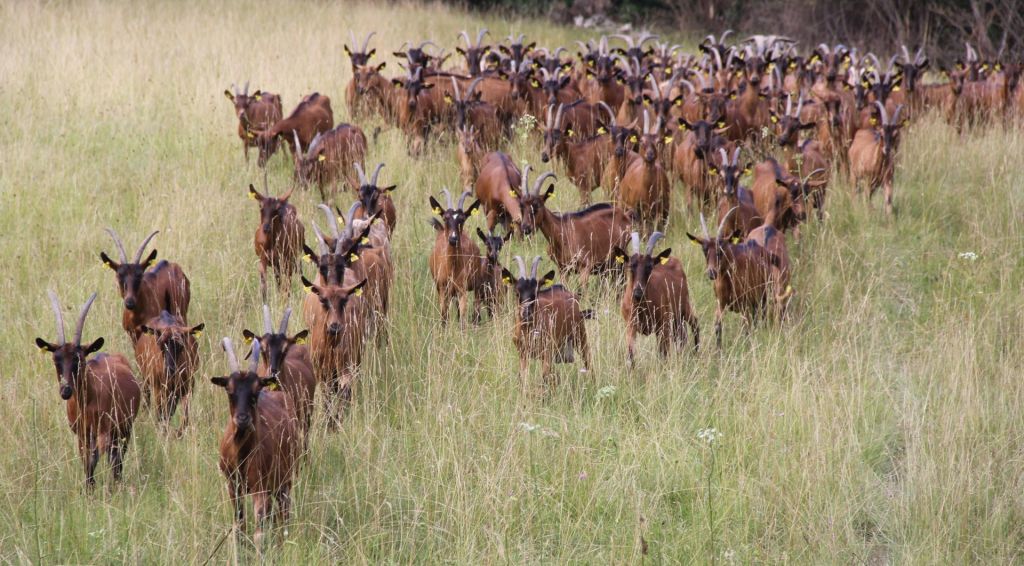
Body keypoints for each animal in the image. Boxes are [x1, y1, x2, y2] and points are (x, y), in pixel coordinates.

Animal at [36, 288, 141, 487]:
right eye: (56, 360)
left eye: (79, 359)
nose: (66, 391)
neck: (88, 401)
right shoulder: (82, 435)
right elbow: (88, 465)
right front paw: (89, 489)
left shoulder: (104, 432)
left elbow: (98, 461)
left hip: (123, 430)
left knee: (117, 461)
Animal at [211, 337, 299, 544]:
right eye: (229, 389)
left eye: (257, 389)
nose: (243, 419)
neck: (241, 453)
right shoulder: (233, 485)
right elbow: (239, 525)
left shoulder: (260, 487)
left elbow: (259, 532)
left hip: (284, 478)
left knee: (284, 511)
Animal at [501, 256, 593, 386]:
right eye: (517, 293)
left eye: (536, 293)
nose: (526, 313)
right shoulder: (523, 353)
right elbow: (523, 378)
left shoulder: (546, 352)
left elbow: (544, 377)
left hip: (580, 335)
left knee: (588, 359)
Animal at [610, 230, 700, 360]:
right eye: (631, 265)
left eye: (649, 266)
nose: (638, 293)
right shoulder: (631, 327)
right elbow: (630, 355)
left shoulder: (663, 327)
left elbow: (663, 354)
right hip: (676, 319)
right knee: (681, 337)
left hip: (683, 307)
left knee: (695, 324)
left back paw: (696, 352)